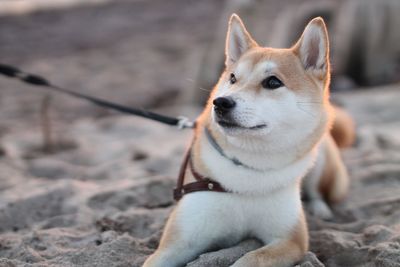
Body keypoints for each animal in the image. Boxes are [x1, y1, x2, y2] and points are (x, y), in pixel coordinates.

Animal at [142, 14, 352, 267]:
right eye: (233, 78)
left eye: (273, 82)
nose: (221, 102)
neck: (249, 167)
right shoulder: (178, 241)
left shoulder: (290, 240)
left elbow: (251, 259)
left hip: (321, 162)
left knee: (318, 191)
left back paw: (320, 210)